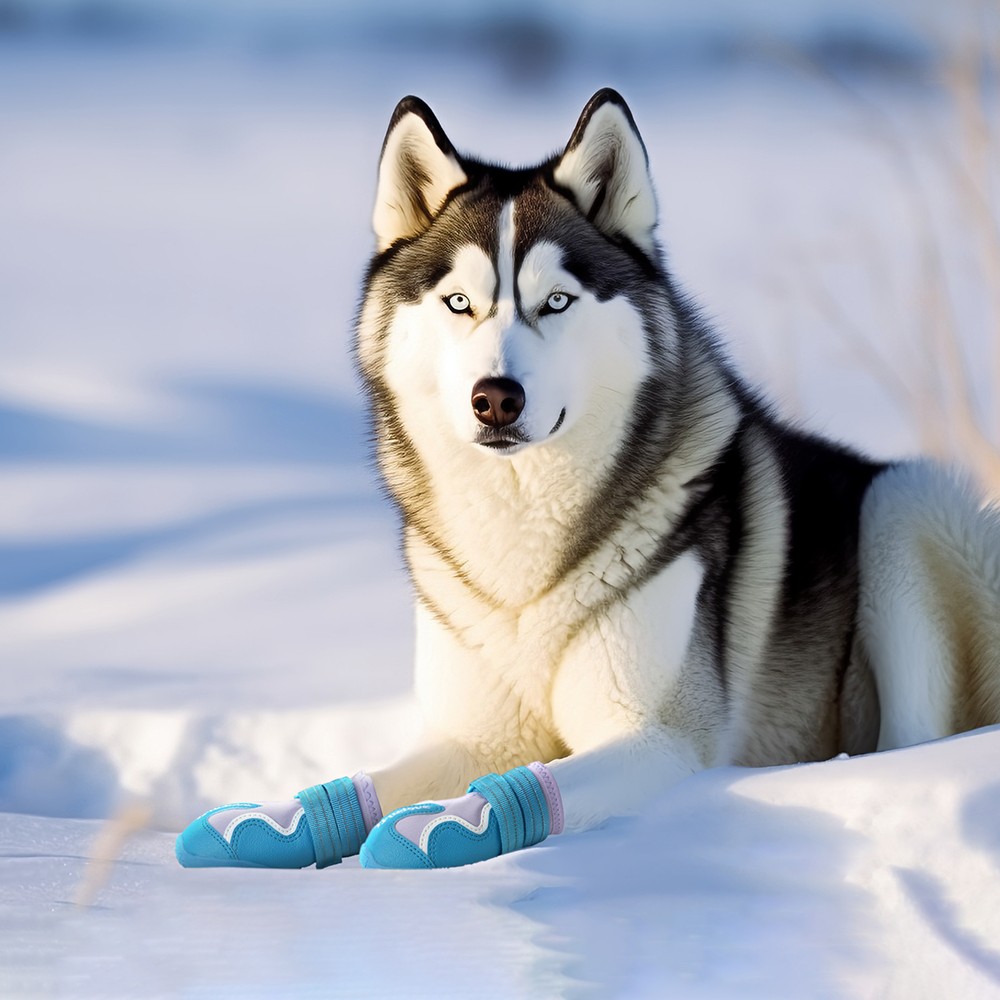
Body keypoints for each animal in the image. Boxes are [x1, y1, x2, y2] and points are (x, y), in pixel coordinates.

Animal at [176, 90, 1000, 872]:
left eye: (557, 301)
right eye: (458, 302)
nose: (496, 397)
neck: (521, 557)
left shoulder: (656, 737)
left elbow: (530, 790)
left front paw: (436, 831)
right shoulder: (473, 733)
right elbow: (367, 782)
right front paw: (267, 823)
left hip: (907, 504)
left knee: (915, 731)